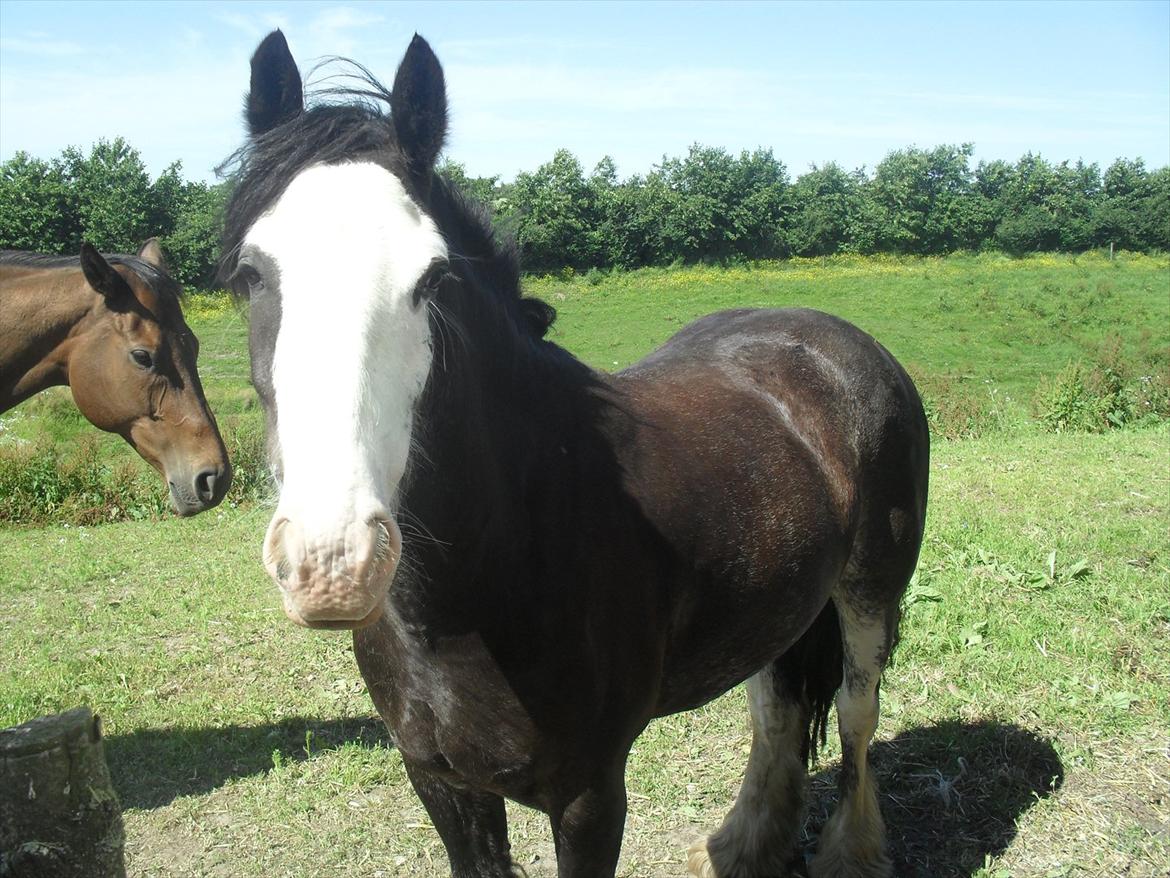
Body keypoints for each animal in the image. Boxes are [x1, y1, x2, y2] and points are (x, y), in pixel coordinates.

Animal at [223, 29, 926, 878]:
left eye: (433, 277)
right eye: (250, 273)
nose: (332, 563)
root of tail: (836, 338)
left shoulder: (591, 798)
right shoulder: (441, 783)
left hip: (870, 593)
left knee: (856, 715)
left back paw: (849, 849)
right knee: (776, 709)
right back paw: (744, 842)